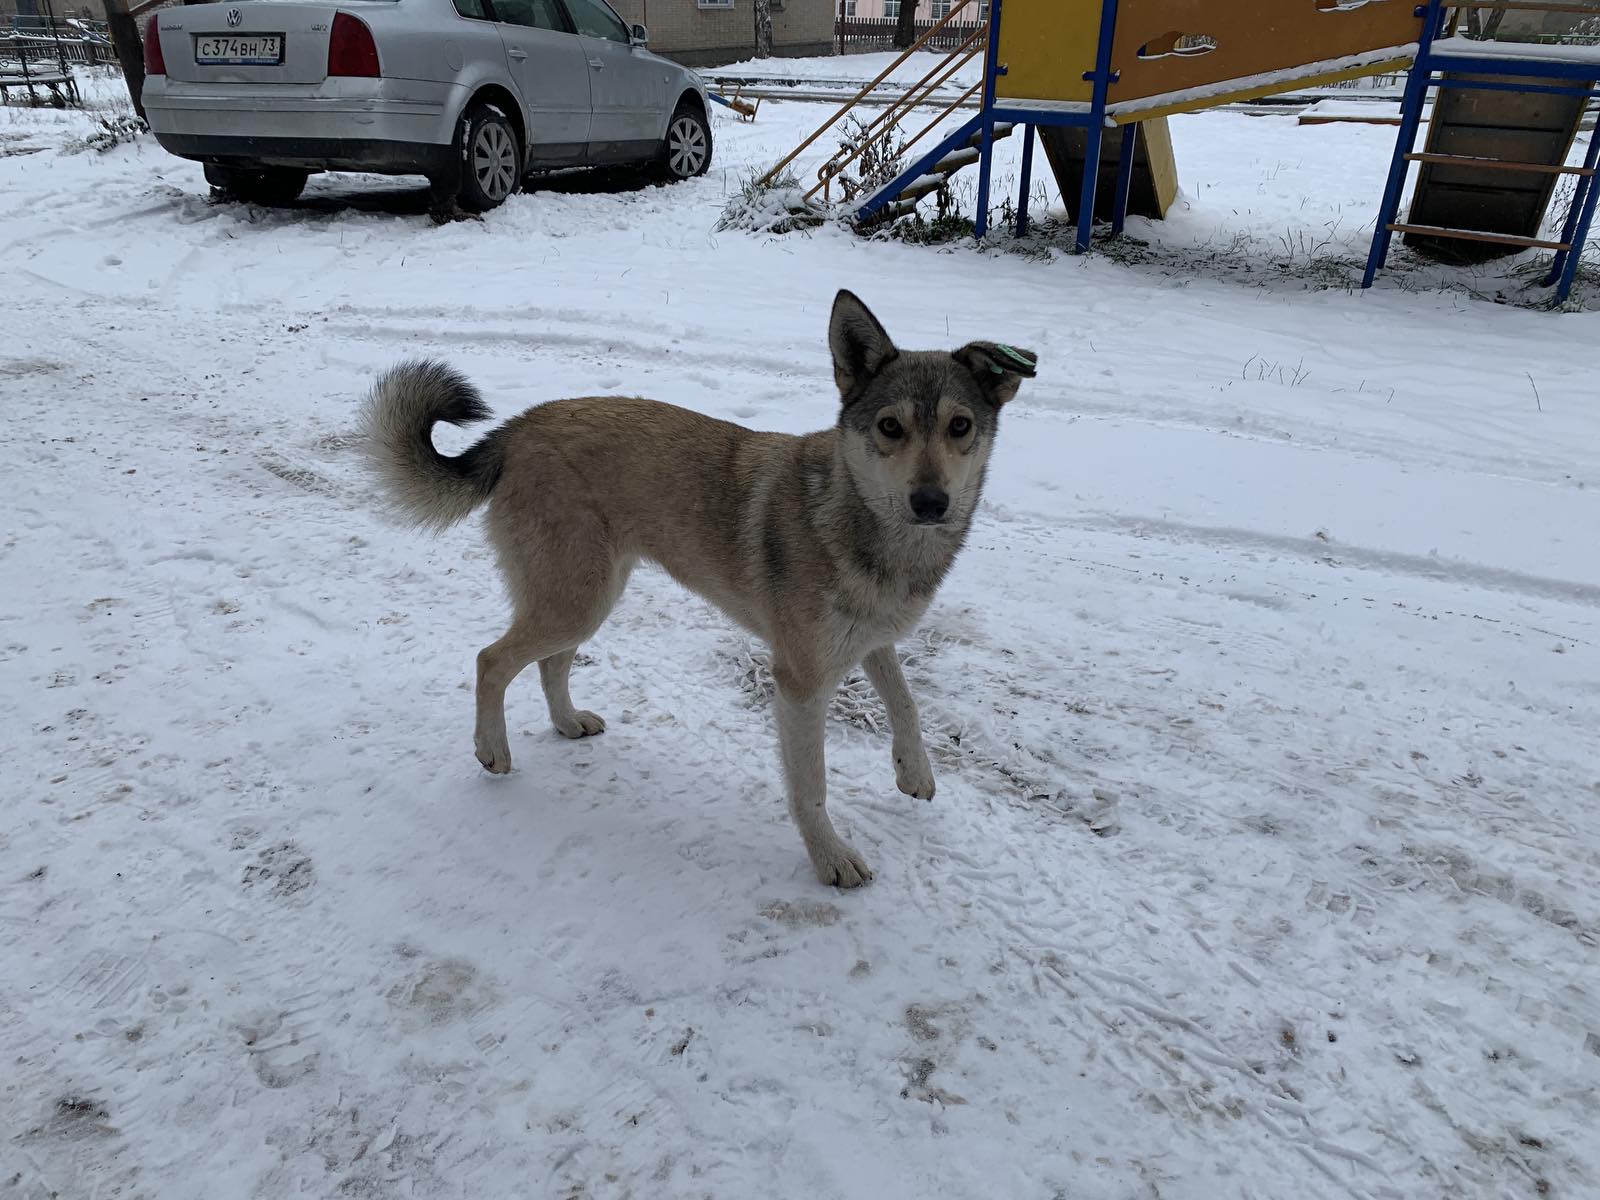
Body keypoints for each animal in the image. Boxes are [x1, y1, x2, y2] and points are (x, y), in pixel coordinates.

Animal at [363, 289, 1036, 896]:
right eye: (890, 428)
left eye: (960, 427)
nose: (931, 502)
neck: (855, 515)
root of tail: (518, 426)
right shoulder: (801, 681)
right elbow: (812, 788)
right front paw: (830, 858)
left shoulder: (869, 639)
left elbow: (906, 702)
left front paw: (914, 771)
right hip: (575, 598)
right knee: (492, 660)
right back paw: (492, 752)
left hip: (589, 596)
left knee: (551, 663)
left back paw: (567, 723)